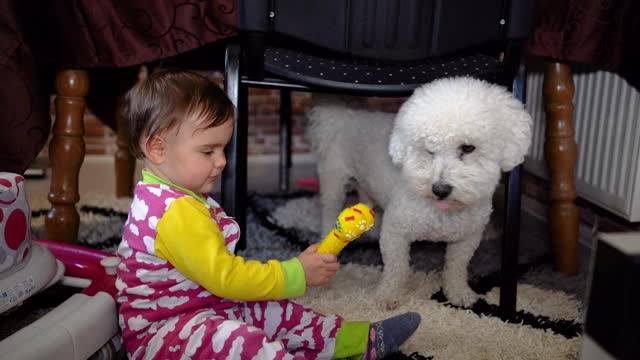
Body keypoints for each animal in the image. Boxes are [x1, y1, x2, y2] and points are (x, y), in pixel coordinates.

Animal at [308, 77, 532, 308]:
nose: (440, 189)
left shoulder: (467, 239)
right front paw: (387, 296)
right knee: (330, 209)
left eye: (468, 148)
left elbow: (456, 268)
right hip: (334, 180)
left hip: (366, 182)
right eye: (429, 148)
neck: (442, 213)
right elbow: (396, 269)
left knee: (366, 198)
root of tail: (347, 116)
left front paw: (458, 293)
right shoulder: (395, 233)